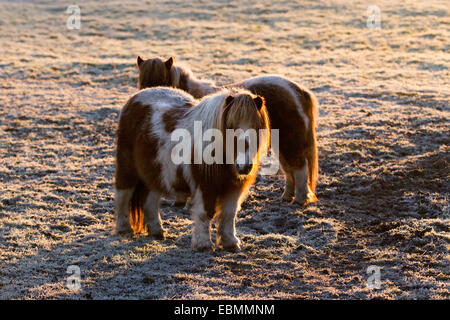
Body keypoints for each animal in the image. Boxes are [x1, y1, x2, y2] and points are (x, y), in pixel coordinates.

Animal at [116, 86, 270, 251]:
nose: (245, 166)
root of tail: (135, 98)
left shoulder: (233, 187)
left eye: (256, 128)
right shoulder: (204, 186)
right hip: (128, 169)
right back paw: (124, 229)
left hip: (154, 174)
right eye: (231, 126)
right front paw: (203, 244)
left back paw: (156, 231)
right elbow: (205, 213)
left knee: (150, 199)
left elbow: (229, 213)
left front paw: (230, 242)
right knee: (123, 195)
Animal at [135, 56, 318, 204]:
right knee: (289, 169)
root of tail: (297, 90)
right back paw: (287, 197)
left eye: (162, 80)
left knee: (300, 168)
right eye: (142, 82)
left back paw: (299, 200)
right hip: (281, 143)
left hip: (290, 141)